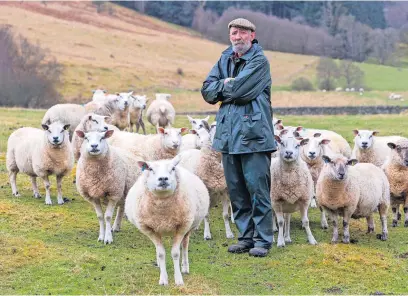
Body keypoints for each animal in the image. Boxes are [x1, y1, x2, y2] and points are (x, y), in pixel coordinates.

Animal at [124, 156, 209, 286]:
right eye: (150, 169)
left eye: (173, 168)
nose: (163, 178)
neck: (163, 214)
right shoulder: (150, 230)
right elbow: (161, 253)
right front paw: (163, 279)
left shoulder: (182, 227)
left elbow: (176, 253)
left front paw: (178, 279)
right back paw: (160, 264)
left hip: (190, 227)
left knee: (185, 245)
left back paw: (185, 267)